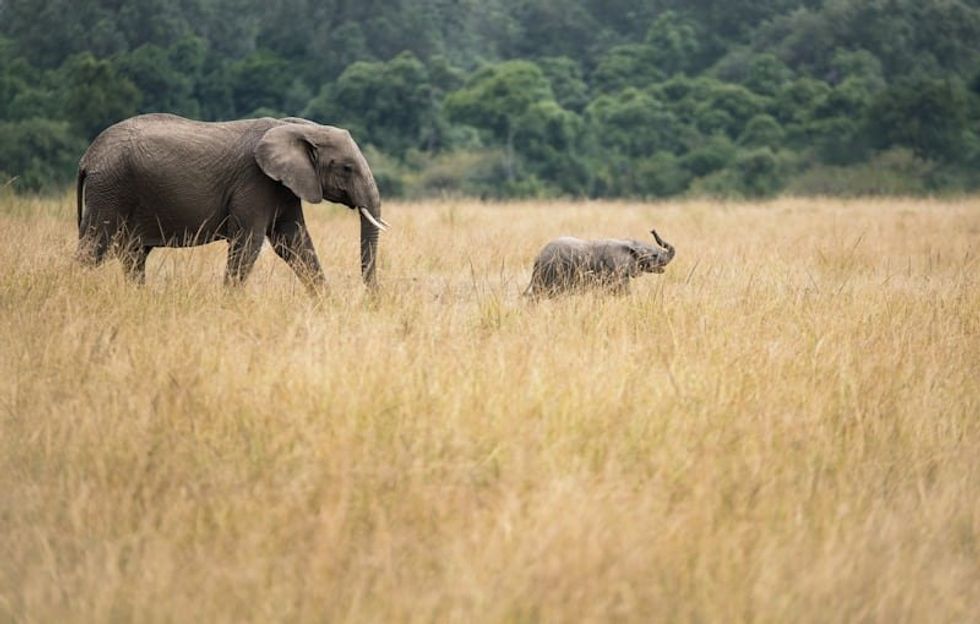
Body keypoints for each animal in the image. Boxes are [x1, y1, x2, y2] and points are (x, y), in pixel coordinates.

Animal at [74, 114, 386, 292]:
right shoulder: (255, 181)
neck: (299, 128)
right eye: (347, 168)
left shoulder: (284, 186)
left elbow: (293, 242)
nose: (371, 299)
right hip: (110, 189)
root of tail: (87, 157)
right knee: (93, 248)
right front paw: (229, 303)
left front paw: (326, 304)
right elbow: (248, 243)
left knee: (134, 255)